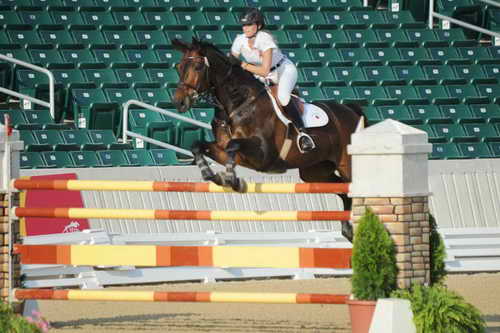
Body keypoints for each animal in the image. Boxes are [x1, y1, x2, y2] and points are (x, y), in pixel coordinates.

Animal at [173, 38, 368, 241]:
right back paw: (348, 231)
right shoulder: (226, 151)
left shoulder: (263, 154)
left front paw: (232, 181)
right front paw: (214, 176)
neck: (238, 105)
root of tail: (352, 111)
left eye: (197, 67)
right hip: (315, 172)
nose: (178, 102)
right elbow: (199, 146)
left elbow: (233, 145)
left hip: (346, 165)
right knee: (345, 191)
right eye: (179, 67)